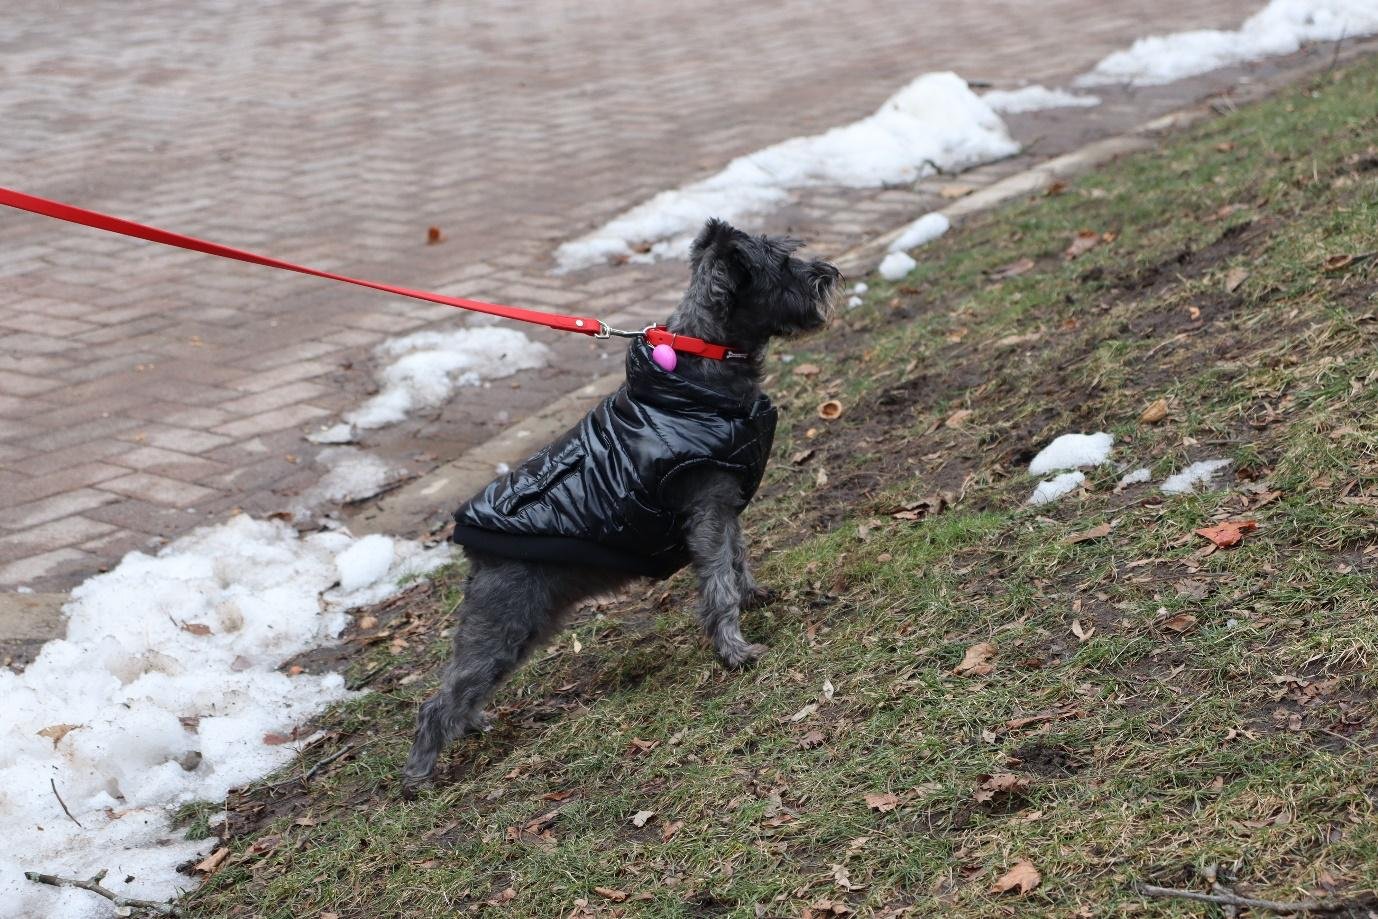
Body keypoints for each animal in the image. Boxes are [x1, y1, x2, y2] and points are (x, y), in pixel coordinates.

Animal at [402, 217, 837, 793]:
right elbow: (717, 582)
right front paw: (735, 650)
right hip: (506, 620)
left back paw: (473, 724)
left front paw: (753, 597)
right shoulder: (706, 510)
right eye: (783, 264)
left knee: (465, 687)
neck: (699, 370)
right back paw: (420, 777)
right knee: (439, 700)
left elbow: (738, 559)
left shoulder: (724, 505)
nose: (829, 274)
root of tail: (472, 549)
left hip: (523, 626)